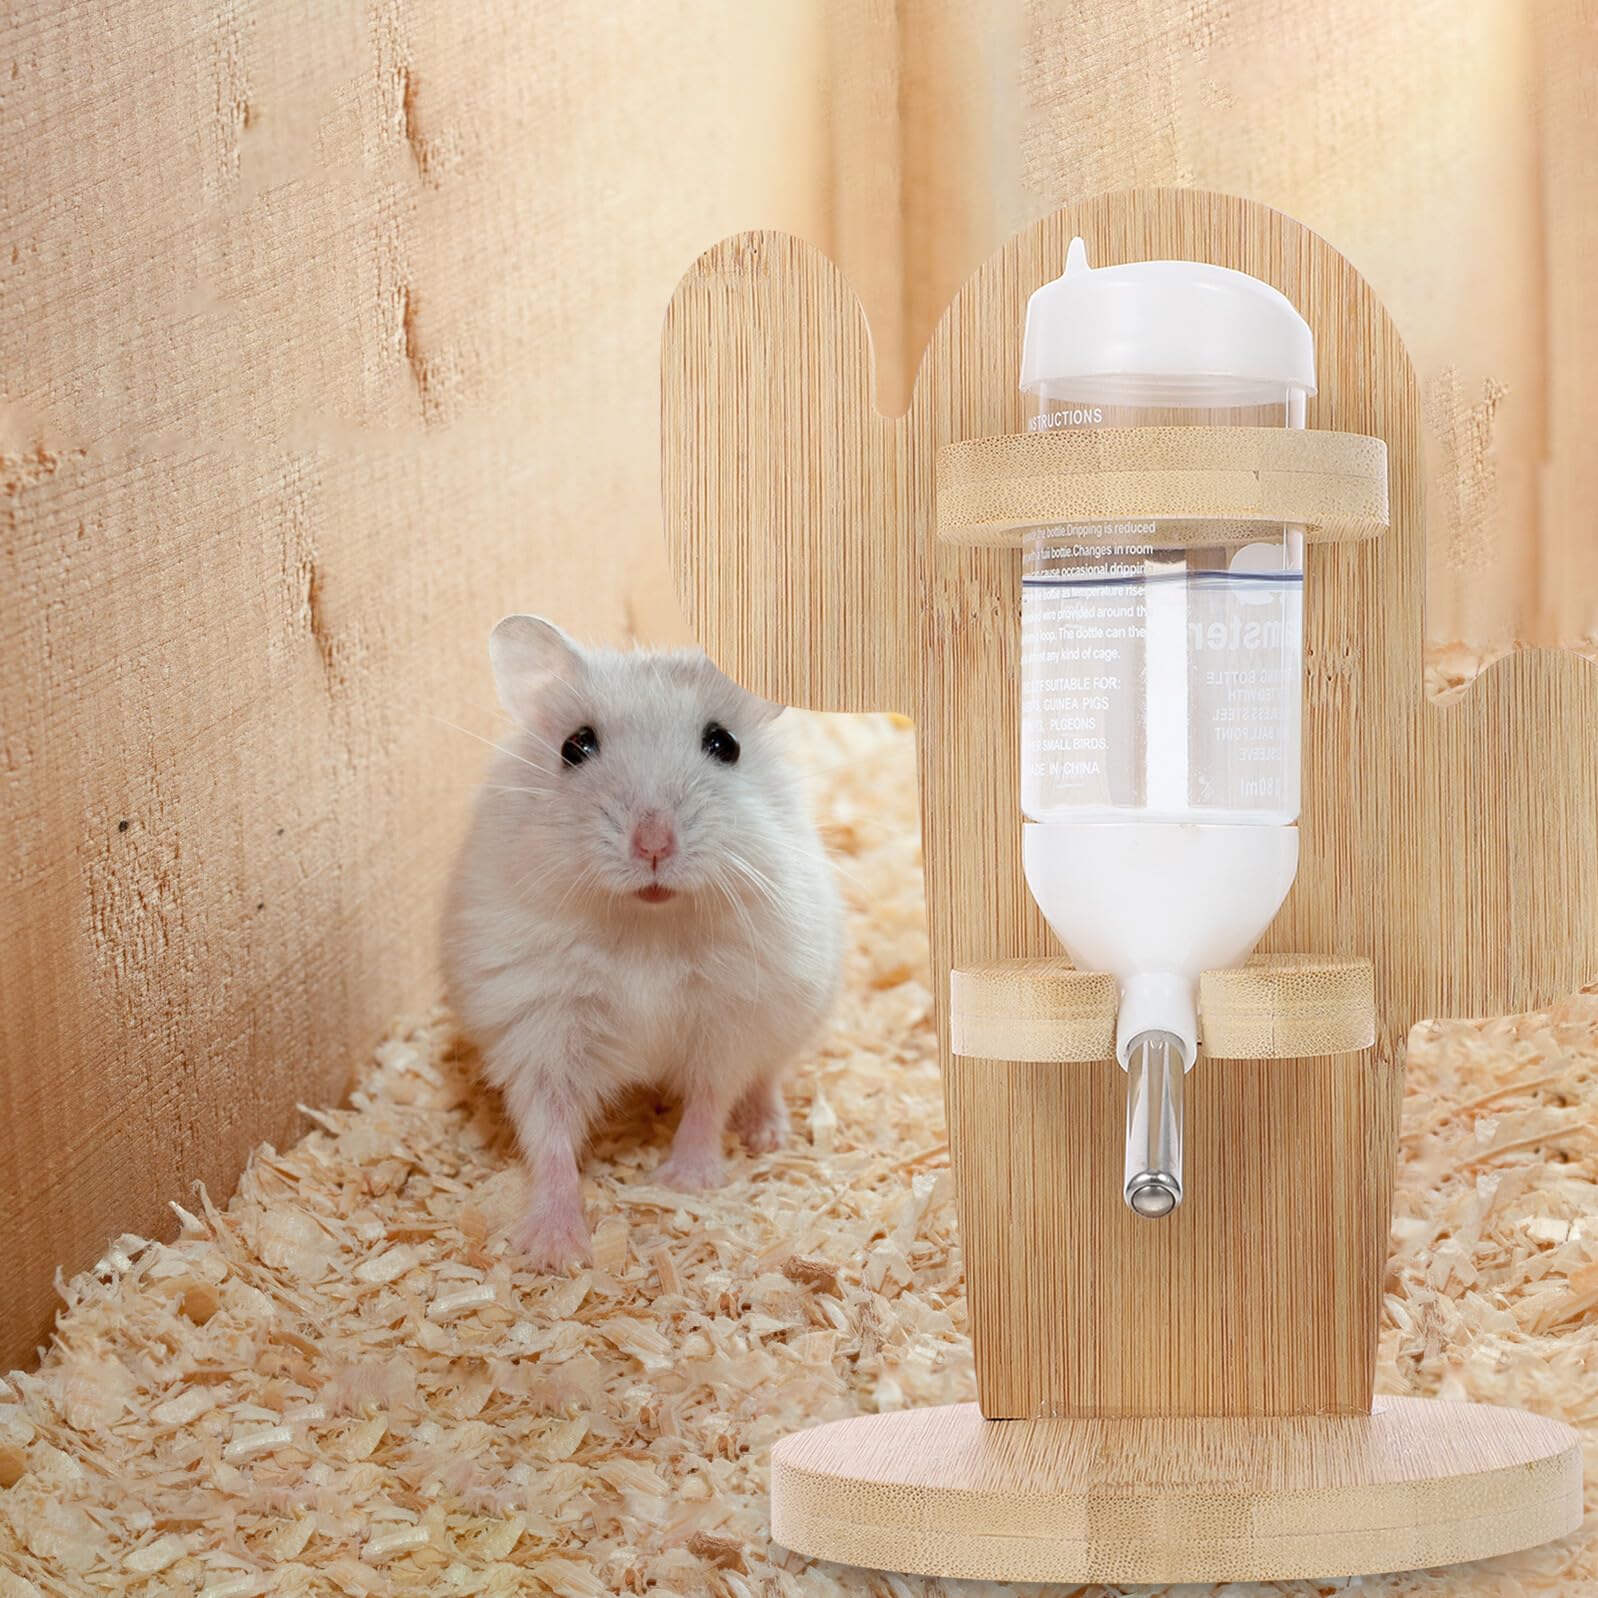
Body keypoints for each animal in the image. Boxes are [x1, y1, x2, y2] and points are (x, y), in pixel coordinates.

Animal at [444, 615, 845, 1270]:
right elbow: (550, 1135)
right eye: (574, 747)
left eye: (724, 744)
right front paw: (556, 1252)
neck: (648, 927)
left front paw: (686, 1183)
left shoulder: (730, 1017)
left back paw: (766, 1134)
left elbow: (710, 1097)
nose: (653, 844)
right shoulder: (541, 1028)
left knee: (766, 1077)